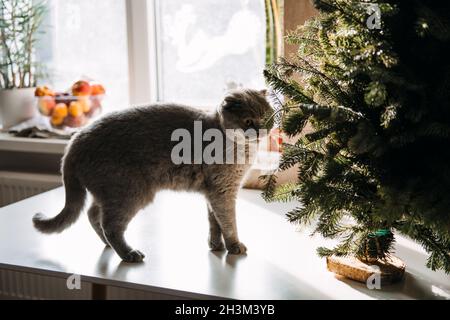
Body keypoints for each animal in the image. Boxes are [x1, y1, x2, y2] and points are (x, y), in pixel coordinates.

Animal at [32, 88, 270, 262]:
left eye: (267, 118)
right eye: (248, 121)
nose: (261, 129)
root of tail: (75, 140)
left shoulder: (212, 192)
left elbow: (214, 221)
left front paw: (216, 246)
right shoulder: (223, 191)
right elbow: (228, 222)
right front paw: (234, 246)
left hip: (108, 191)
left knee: (93, 214)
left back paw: (108, 245)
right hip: (130, 192)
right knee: (110, 226)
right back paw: (129, 254)